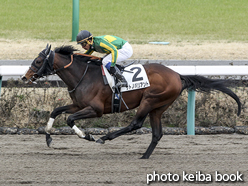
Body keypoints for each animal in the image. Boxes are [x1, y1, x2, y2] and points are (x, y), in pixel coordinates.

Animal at [21, 44, 240, 159]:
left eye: (38, 61)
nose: (25, 77)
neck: (83, 76)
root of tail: (178, 75)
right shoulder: (79, 105)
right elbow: (56, 111)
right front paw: (48, 138)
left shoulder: (95, 109)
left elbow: (69, 119)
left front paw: (88, 135)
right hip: (158, 107)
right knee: (157, 133)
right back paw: (144, 156)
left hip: (150, 100)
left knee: (135, 124)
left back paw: (105, 137)